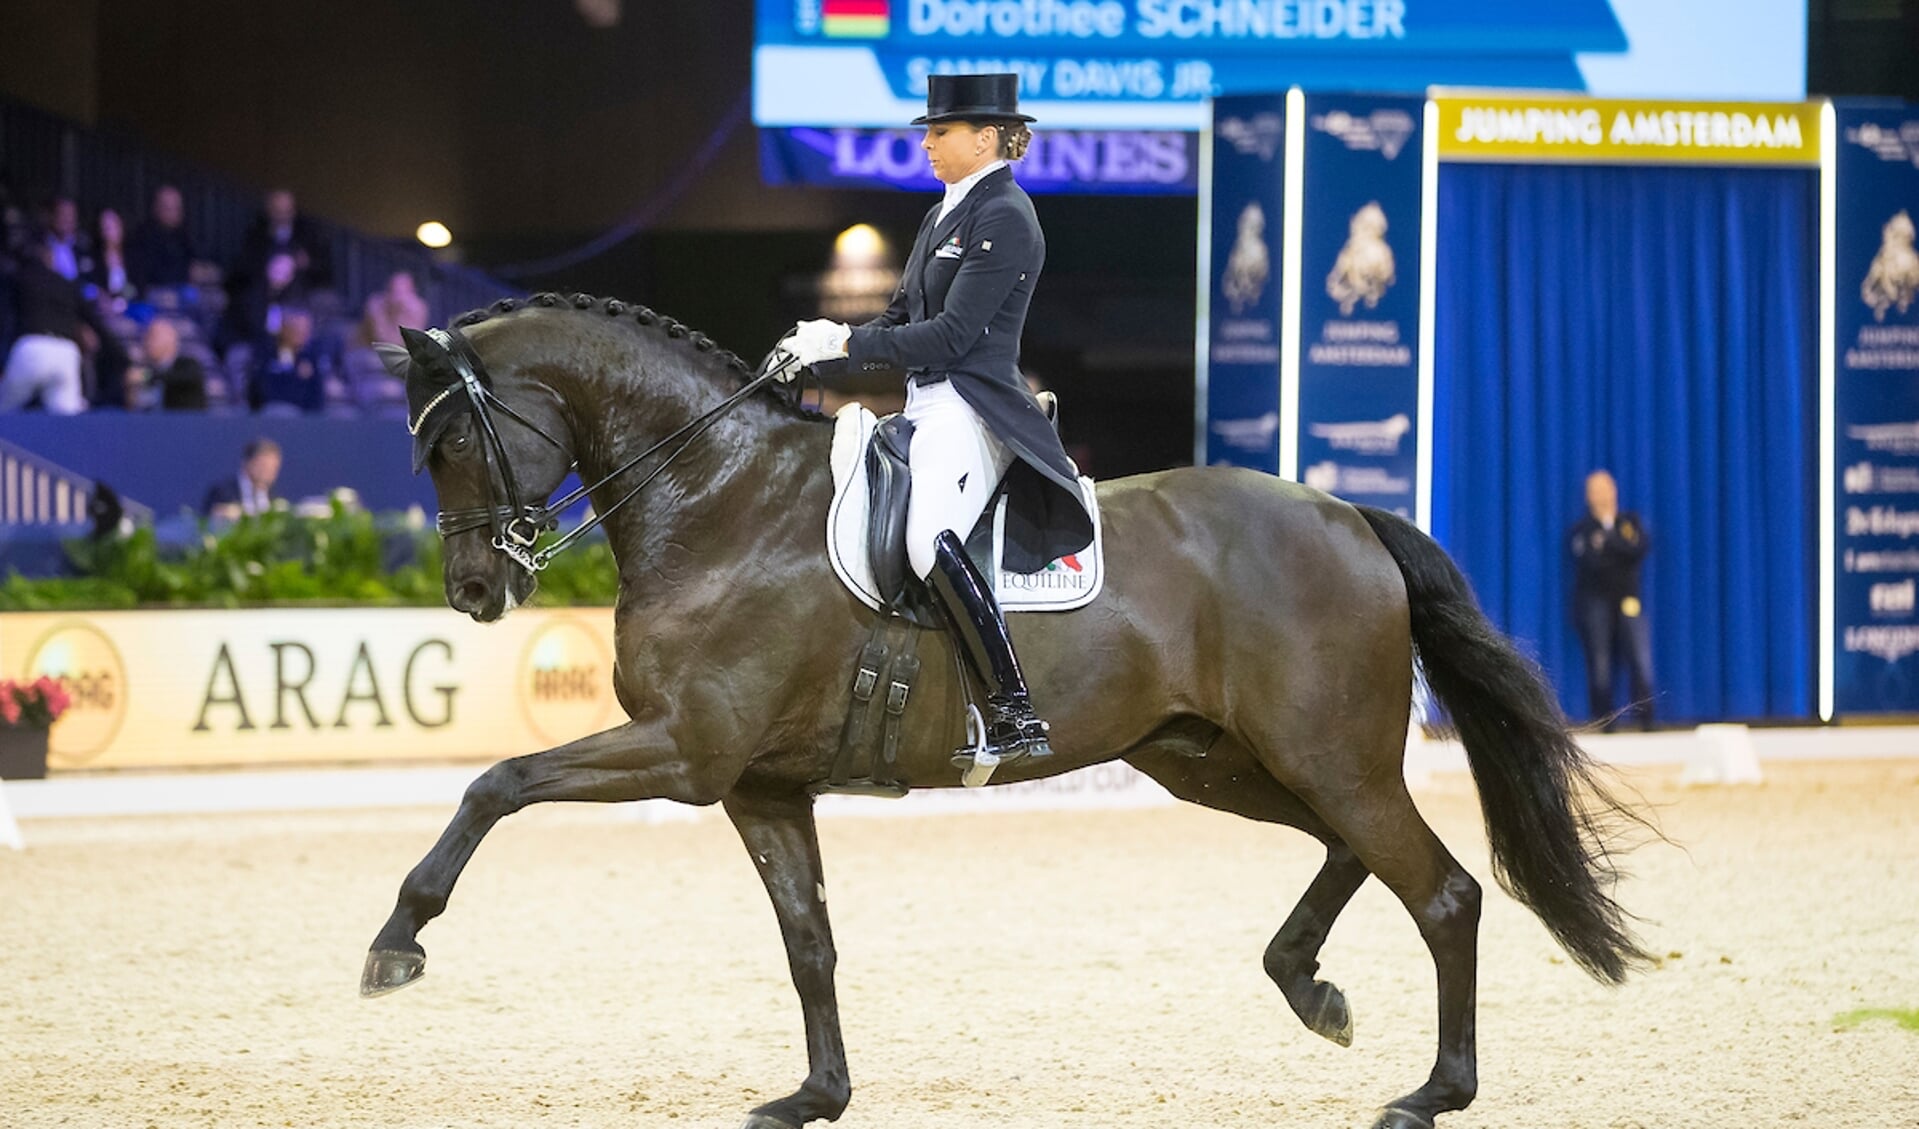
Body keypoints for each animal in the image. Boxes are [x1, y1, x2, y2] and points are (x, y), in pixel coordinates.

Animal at [362, 293, 1650, 1129]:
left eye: (452, 436)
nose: (475, 592)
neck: (717, 496)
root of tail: (1346, 515)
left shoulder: (686, 752)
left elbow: (496, 782)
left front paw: (396, 942)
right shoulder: (758, 783)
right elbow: (808, 941)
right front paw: (814, 1096)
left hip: (1320, 754)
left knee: (1440, 890)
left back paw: (1431, 1092)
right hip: (1220, 760)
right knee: (1354, 852)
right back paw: (1311, 989)